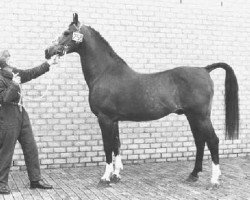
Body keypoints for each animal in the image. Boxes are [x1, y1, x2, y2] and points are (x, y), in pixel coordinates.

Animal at [45, 13, 238, 187]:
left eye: (66, 32)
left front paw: (105, 178)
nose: (48, 51)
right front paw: (116, 175)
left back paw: (214, 180)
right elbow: (116, 145)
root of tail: (205, 69)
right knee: (200, 142)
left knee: (212, 141)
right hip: (192, 117)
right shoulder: (114, 120)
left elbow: (108, 146)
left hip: (201, 116)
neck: (105, 73)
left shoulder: (104, 118)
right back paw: (193, 175)